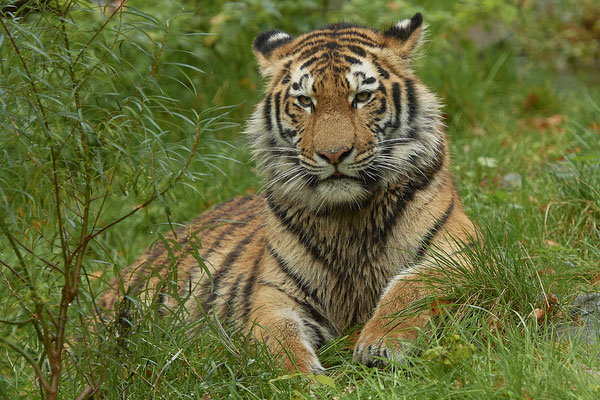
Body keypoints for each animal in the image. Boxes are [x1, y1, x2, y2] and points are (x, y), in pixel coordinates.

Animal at [98, 13, 478, 376]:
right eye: (305, 101)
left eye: (362, 97)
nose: (334, 154)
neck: (349, 216)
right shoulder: (274, 294)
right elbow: (278, 339)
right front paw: (301, 377)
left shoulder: (460, 254)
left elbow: (414, 287)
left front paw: (381, 343)